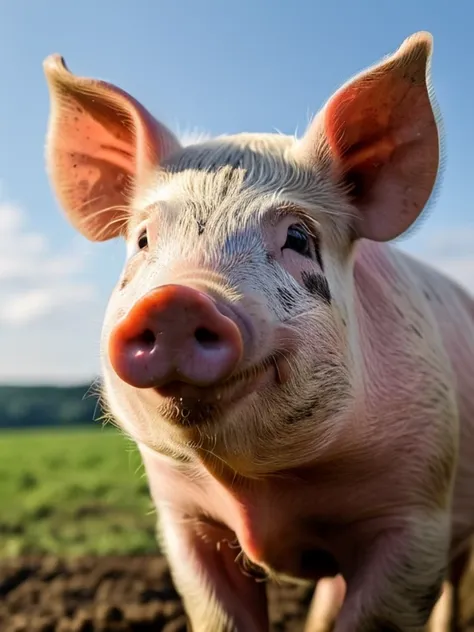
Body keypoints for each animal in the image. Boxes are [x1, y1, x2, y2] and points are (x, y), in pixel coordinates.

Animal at [42, 33, 474, 632]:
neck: (259, 491)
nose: (177, 299)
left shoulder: (415, 515)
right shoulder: (182, 522)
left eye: (298, 237)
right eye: (144, 240)